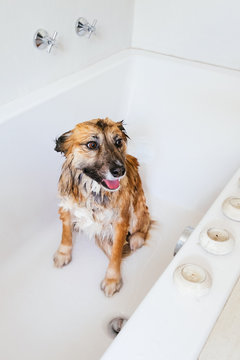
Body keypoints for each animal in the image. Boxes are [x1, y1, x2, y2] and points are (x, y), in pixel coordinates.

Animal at [53, 117, 150, 296]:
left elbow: (116, 253)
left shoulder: (120, 221)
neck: (92, 190)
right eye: (92, 144)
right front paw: (63, 253)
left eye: (118, 142)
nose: (120, 171)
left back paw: (137, 239)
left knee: (144, 223)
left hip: (136, 211)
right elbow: (65, 234)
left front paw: (112, 279)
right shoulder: (66, 206)